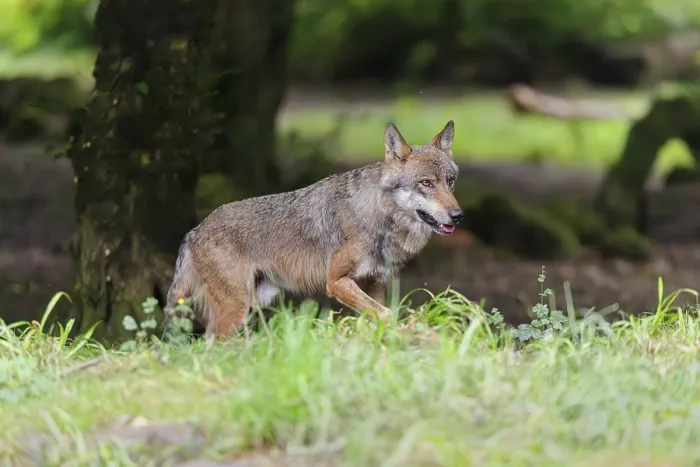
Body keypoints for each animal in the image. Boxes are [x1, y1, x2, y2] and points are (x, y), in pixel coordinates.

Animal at [165, 120, 463, 337]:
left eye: (450, 181)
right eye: (426, 183)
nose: (458, 215)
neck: (378, 216)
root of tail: (195, 231)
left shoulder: (375, 283)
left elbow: (375, 317)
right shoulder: (336, 282)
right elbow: (387, 314)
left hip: (253, 303)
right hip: (236, 308)